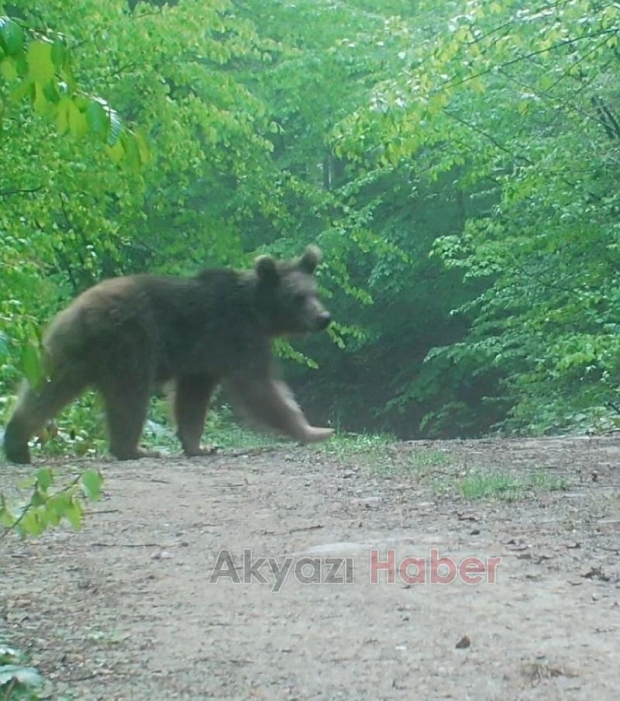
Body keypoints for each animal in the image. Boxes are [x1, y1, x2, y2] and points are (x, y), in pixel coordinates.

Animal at [2, 246, 334, 464]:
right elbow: (259, 387)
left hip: (68, 350)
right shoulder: (236, 336)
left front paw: (198, 444)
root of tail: (83, 308)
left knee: (45, 388)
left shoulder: (203, 360)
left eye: (315, 292)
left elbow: (192, 399)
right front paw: (314, 429)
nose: (324, 317)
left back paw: (17, 442)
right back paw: (134, 448)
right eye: (298, 297)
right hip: (131, 341)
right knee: (130, 395)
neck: (258, 312)